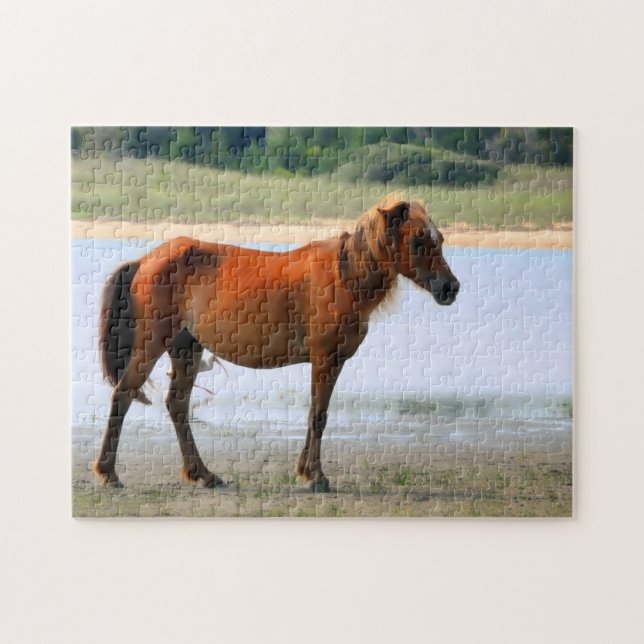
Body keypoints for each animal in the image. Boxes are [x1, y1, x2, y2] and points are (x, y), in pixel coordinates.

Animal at [93, 194, 459, 492]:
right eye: (418, 240)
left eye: (439, 238)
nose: (450, 288)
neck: (345, 276)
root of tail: (144, 261)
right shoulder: (326, 360)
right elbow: (319, 415)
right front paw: (316, 477)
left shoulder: (329, 362)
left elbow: (315, 412)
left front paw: (305, 471)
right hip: (152, 343)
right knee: (124, 394)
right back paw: (108, 472)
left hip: (186, 348)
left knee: (177, 406)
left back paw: (203, 474)